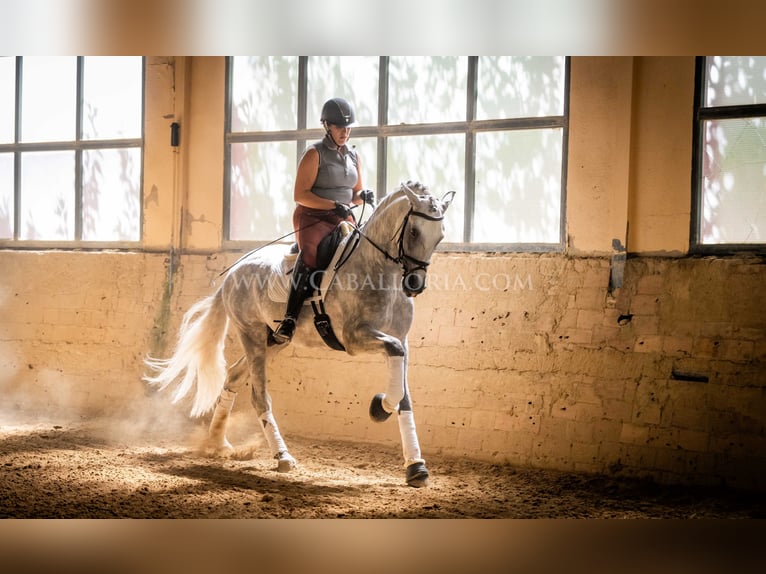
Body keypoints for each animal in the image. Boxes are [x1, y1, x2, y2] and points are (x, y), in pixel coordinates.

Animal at [145, 182, 456, 488]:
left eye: (440, 235)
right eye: (414, 231)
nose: (415, 284)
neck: (380, 273)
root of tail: (233, 274)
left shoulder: (402, 339)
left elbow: (404, 395)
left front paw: (415, 466)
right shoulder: (355, 338)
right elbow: (393, 364)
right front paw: (380, 407)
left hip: (274, 340)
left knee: (232, 377)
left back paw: (218, 443)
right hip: (252, 335)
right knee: (259, 397)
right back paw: (282, 455)